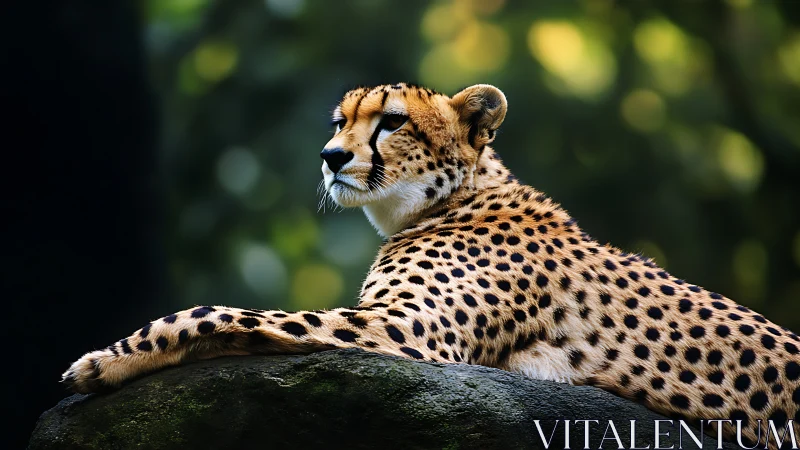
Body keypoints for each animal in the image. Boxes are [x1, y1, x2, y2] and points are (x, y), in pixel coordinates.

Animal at [64, 82, 799, 447]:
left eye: (391, 122)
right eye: (338, 122)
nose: (331, 157)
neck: (451, 199)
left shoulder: (408, 329)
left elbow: (212, 311)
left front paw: (107, 359)